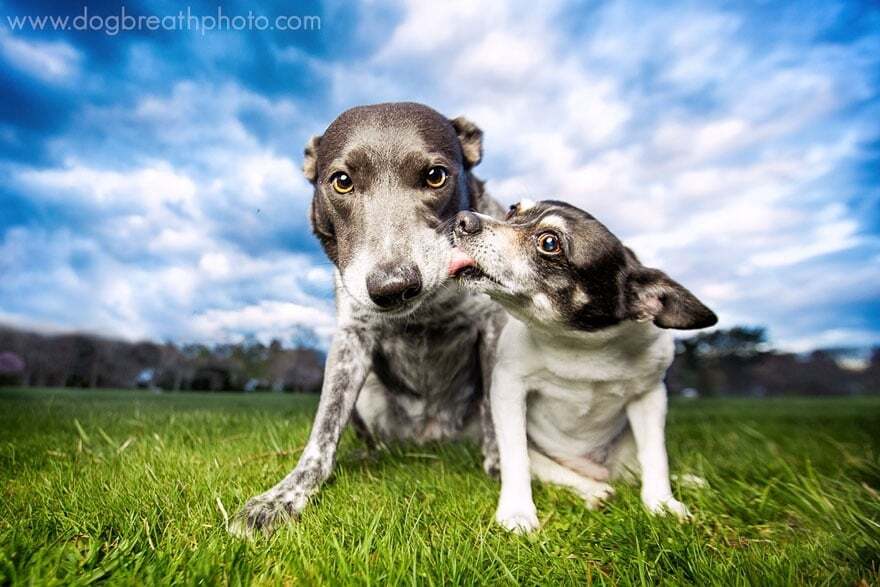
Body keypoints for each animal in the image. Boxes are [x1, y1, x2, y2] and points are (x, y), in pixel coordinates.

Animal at [230, 102, 508, 536]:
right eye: (342, 181)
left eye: (435, 176)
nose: (394, 286)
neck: (427, 309)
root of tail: (428, 438)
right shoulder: (351, 339)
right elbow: (324, 430)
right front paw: (281, 497)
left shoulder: (492, 327)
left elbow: (497, 414)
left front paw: (502, 470)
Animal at [450, 201, 720, 532]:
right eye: (513, 210)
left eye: (549, 243)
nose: (464, 218)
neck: (580, 344)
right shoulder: (508, 390)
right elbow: (517, 459)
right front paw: (517, 511)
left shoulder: (649, 397)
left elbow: (656, 456)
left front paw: (662, 504)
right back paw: (594, 491)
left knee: (633, 470)